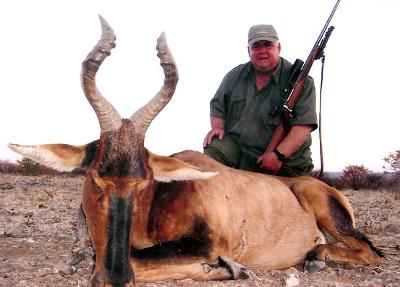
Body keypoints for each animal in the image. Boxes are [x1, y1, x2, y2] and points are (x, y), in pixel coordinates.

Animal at [8, 16, 382, 287]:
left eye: (144, 183)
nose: (114, 279)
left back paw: (316, 257)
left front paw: (232, 269)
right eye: (96, 178)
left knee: (372, 252)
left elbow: (137, 260)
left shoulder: (208, 243)